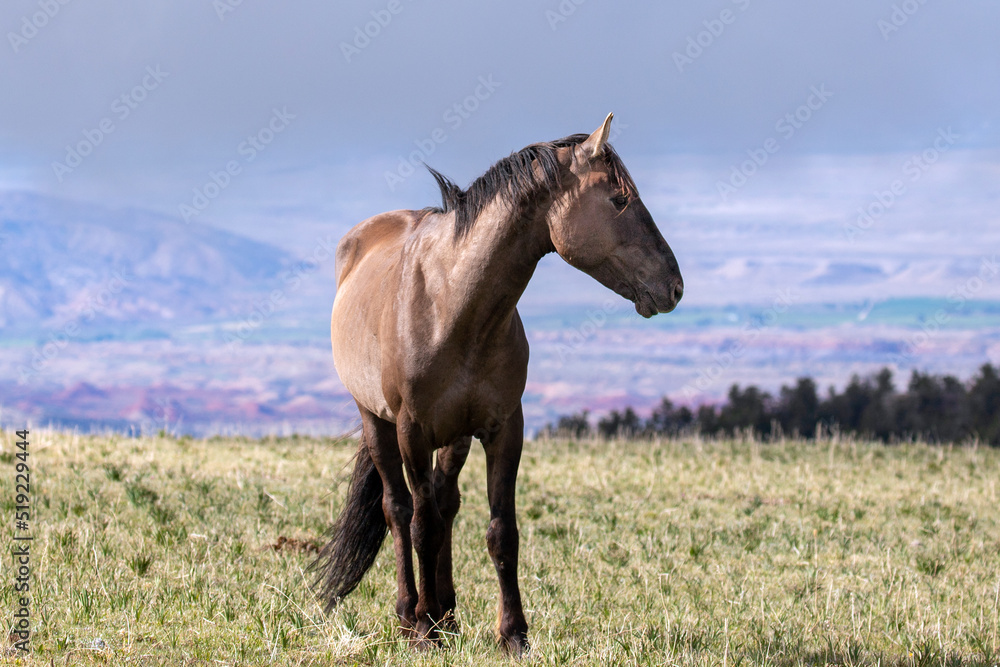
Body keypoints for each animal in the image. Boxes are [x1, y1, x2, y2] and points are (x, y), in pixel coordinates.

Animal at [310, 114, 683, 654]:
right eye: (619, 200)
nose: (674, 286)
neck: (453, 305)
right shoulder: (412, 432)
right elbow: (421, 525)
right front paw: (424, 633)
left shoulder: (504, 428)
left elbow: (501, 531)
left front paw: (513, 633)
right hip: (377, 423)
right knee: (399, 510)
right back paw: (411, 615)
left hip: (456, 437)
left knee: (446, 503)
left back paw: (447, 614)